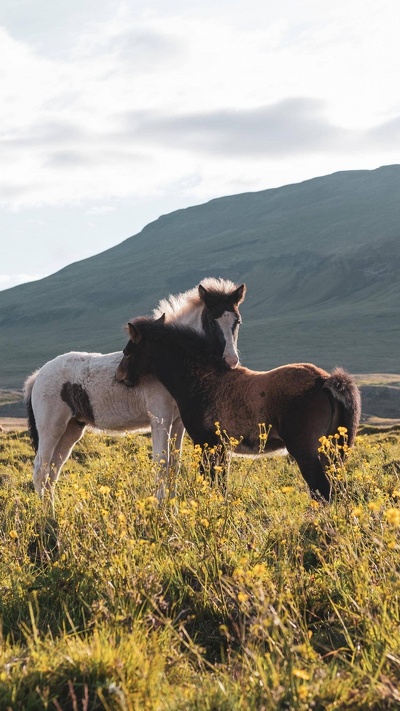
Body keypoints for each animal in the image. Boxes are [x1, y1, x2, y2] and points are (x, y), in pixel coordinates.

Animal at [25, 278, 245, 500]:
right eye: (211, 321)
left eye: (237, 321)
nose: (230, 361)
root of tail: (37, 376)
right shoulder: (160, 417)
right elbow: (162, 464)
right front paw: (160, 507)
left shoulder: (177, 423)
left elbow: (174, 465)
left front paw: (172, 507)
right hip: (51, 428)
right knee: (40, 470)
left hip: (72, 429)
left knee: (53, 471)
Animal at [116, 318, 362, 500]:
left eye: (128, 352)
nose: (119, 377)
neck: (203, 380)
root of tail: (326, 380)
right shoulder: (221, 447)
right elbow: (220, 485)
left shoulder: (205, 443)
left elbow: (210, 481)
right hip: (333, 452)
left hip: (306, 451)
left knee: (323, 491)